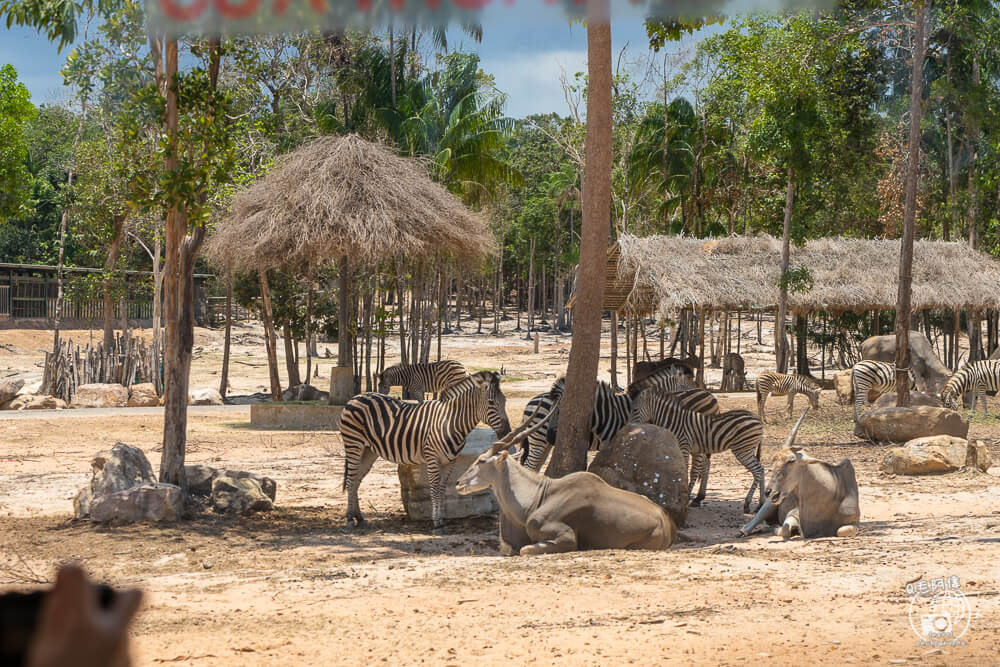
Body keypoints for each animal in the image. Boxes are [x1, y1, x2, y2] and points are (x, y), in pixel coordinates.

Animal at [344, 368, 516, 528]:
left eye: (505, 400)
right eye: (491, 402)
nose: (507, 433)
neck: (450, 422)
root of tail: (356, 397)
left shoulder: (450, 461)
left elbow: (442, 488)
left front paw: (442, 519)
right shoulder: (432, 458)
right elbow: (434, 488)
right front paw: (437, 522)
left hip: (369, 450)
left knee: (357, 479)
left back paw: (359, 517)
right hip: (354, 444)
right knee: (351, 480)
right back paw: (349, 519)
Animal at [458, 410, 676, 556]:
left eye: (481, 460)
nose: (459, 482)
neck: (539, 496)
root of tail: (665, 522)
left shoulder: (566, 538)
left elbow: (524, 549)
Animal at [628, 388, 760, 516]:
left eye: (635, 410)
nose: (629, 428)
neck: (675, 421)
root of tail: (757, 420)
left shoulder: (684, 447)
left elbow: (687, 470)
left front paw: (686, 497)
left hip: (743, 450)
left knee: (758, 471)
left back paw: (748, 504)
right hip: (747, 449)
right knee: (761, 469)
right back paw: (758, 506)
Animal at [744, 410, 860, 540]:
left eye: (791, 460)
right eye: (774, 459)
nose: (769, 491)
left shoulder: (855, 523)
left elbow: (841, 531)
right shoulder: (793, 514)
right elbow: (785, 529)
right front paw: (776, 528)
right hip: (770, 504)